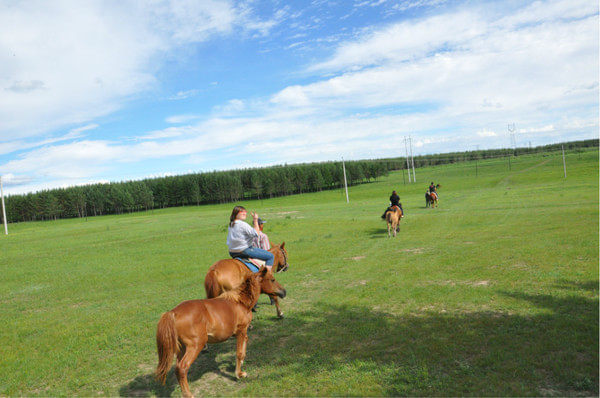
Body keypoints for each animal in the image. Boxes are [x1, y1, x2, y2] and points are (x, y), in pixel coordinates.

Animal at [155, 268, 286, 398]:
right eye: (272, 279)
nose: (284, 292)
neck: (240, 302)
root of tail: (173, 313)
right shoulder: (241, 331)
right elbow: (239, 353)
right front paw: (239, 374)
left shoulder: (243, 333)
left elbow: (244, 349)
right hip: (195, 345)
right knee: (182, 368)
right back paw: (189, 394)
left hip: (182, 348)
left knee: (177, 369)